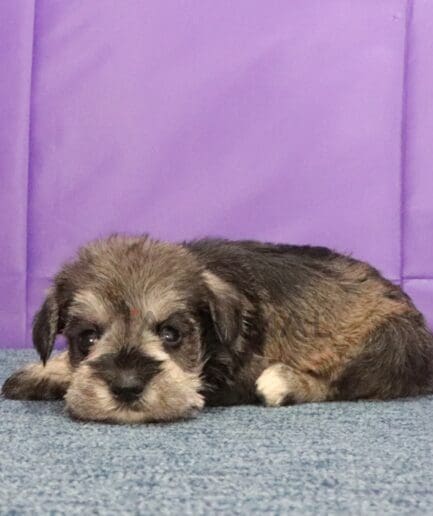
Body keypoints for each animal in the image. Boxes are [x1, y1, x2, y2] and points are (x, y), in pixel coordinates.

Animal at [2, 234, 433, 423]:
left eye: (171, 334)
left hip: (387, 346)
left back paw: (283, 383)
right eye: (87, 338)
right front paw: (42, 373)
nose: (126, 387)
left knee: (344, 382)